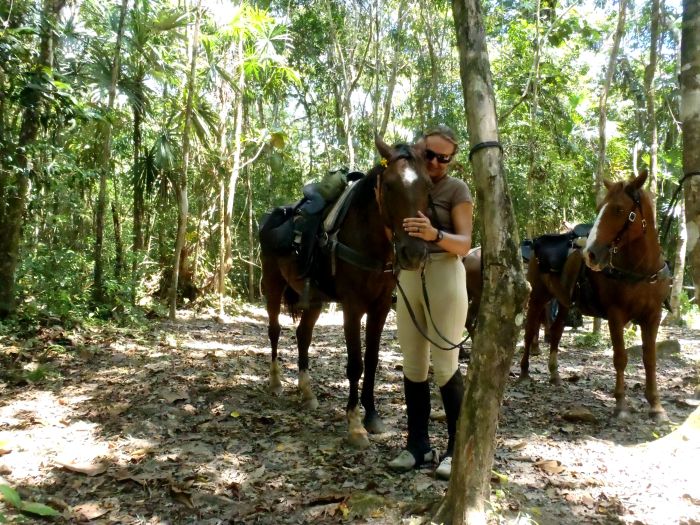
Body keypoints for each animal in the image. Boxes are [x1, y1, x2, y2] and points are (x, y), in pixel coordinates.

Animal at [260, 135, 430, 446]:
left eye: (427, 185)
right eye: (389, 185)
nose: (414, 253)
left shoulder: (380, 306)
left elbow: (372, 360)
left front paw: (372, 416)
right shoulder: (352, 306)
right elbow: (355, 363)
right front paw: (354, 424)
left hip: (314, 299)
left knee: (303, 335)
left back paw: (307, 393)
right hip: (273, 285)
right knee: (275, 330)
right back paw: (276, 382)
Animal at [524, 170, 668, 420]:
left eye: (618, 209)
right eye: (600, 207)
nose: (590, 254)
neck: (640, 271)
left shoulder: (653, 317)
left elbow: (650, 359)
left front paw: (656, 406)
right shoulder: (616, 315)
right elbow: (620, 358)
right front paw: (620, 405)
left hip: (563, 303)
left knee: (557, 332)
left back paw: (554, 374)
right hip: (538, 297)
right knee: (529, 329)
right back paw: (524, 372)